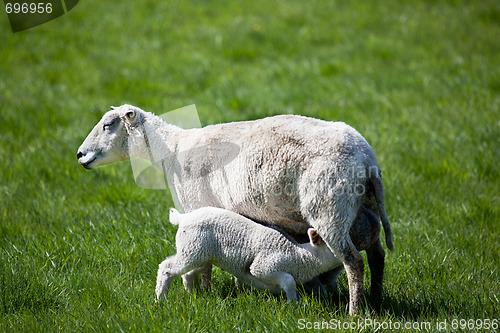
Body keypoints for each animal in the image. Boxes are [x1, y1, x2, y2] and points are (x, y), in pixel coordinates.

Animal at [156, 205, 344, 300]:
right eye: (333, 247)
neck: (300, 256)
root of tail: (183, 218)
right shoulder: (264, 266)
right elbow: (288, 281)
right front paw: (293, 304)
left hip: (199, 253)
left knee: (188, 273)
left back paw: (193, 295)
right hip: (192, 248)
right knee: (167, 268)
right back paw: (160, 299)